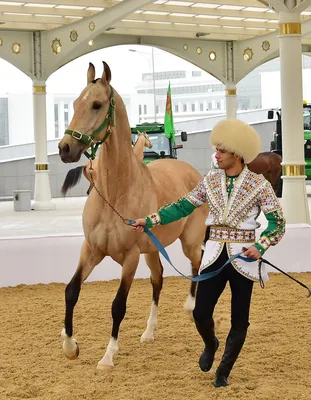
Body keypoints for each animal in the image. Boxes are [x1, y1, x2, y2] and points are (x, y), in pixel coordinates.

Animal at [58, 62, 210, 368]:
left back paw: (190, 307)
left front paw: (108, 356)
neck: (115, 194)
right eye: (74, 103)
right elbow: (71, 291)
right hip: (152, 250)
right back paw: (149, 332)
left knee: (196, 264)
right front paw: (70, 346)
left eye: (96, 104)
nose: (65, 148)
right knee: (158, 279)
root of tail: (191, 172)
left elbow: (118, 305)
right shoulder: (91, 250)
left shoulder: (129, 257)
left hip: (188, 241)